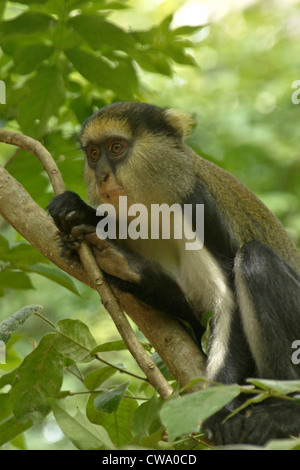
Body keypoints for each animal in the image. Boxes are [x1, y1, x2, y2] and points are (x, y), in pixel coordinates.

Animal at [48, 101, 300, 446]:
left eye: (116, 148)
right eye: (94, 154)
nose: (101, 177)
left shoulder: (196, 209)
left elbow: (226, 300)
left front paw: (215, 410)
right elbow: (193, 313)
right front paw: (113, 254)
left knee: (256, 259)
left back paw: (285, 414)